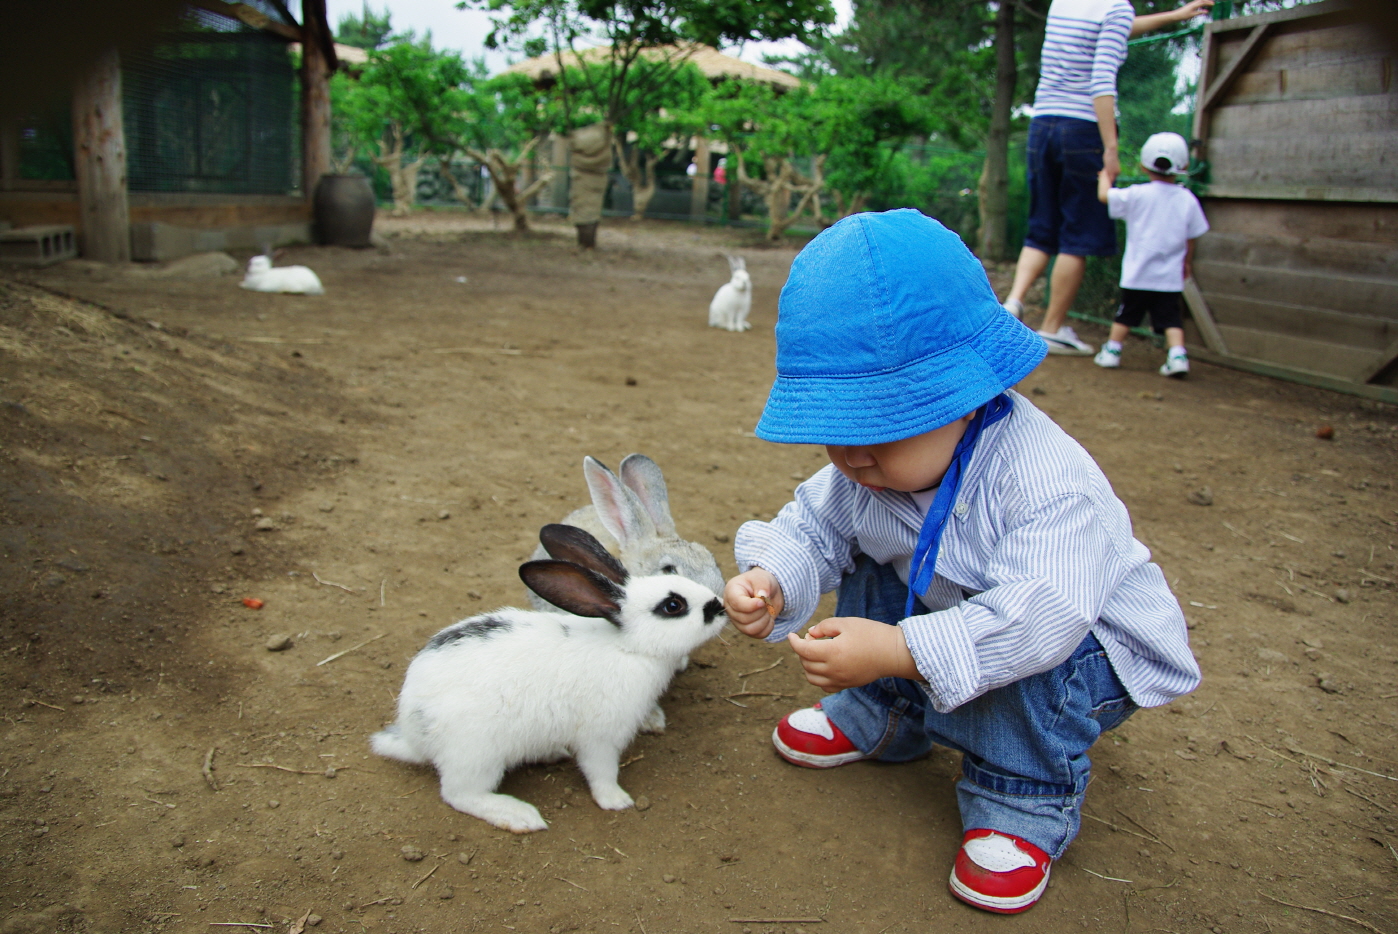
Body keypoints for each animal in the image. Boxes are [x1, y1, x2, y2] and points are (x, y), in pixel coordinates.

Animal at [371, 522, 726, 833]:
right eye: (673, 605)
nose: (720, 608)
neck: (627, 646)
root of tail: (414, 735)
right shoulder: (600, 737)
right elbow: (601, 772)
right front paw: (617, 801)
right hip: (477, 754)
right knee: (459, 794)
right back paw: (519, 816)